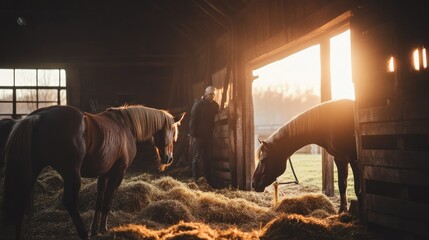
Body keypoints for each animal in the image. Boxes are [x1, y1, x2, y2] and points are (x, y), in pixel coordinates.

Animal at [2, 105, 185, 240]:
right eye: (173, 133)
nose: (168, 158)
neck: (126, 125)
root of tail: (38, 117)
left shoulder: (103, 174)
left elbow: (99, 201)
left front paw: (95, 229)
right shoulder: (118, 172)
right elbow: (108, 201)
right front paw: (103, 228)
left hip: (31, 171)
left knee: (21, 197)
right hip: (71, 175)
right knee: (69, 201)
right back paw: (83, 233)